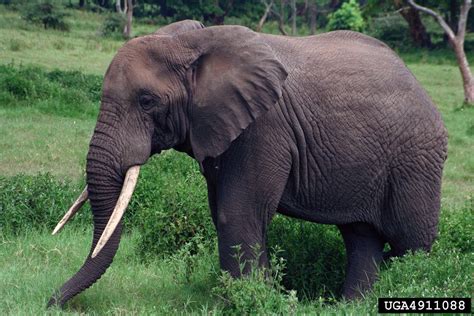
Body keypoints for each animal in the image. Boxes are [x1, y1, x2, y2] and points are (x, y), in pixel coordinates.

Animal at [48, 19, 448, 306]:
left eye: (147, 102)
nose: (52, 301)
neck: (193, 41)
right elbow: (223, 212)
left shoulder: (264, 127)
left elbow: (236, 213)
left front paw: (250, 302)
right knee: (361, 238)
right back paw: (351, 306)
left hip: (417, 159)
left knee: (411, 243)